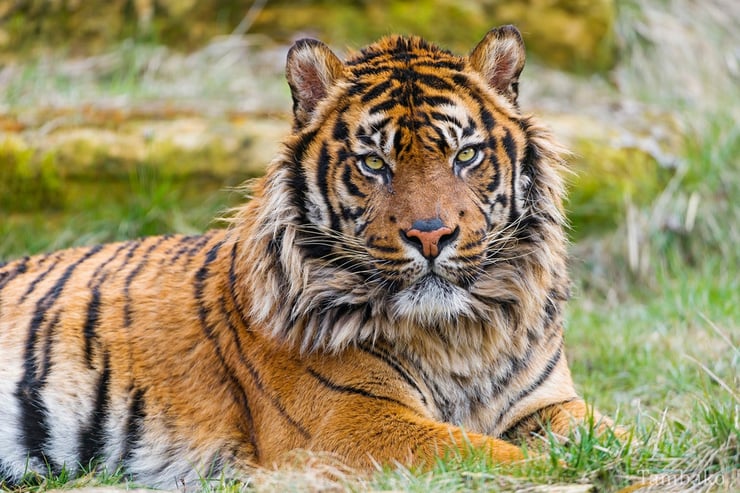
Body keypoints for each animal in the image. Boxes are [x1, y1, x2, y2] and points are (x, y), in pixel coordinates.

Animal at [0, 25, 615, 488]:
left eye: (465, 156)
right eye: (373, 164)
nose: (431, 235)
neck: (457, 334)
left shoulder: (547, 402)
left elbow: (613, 430)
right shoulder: (350, 422)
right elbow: (483, 451)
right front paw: (571, 471)